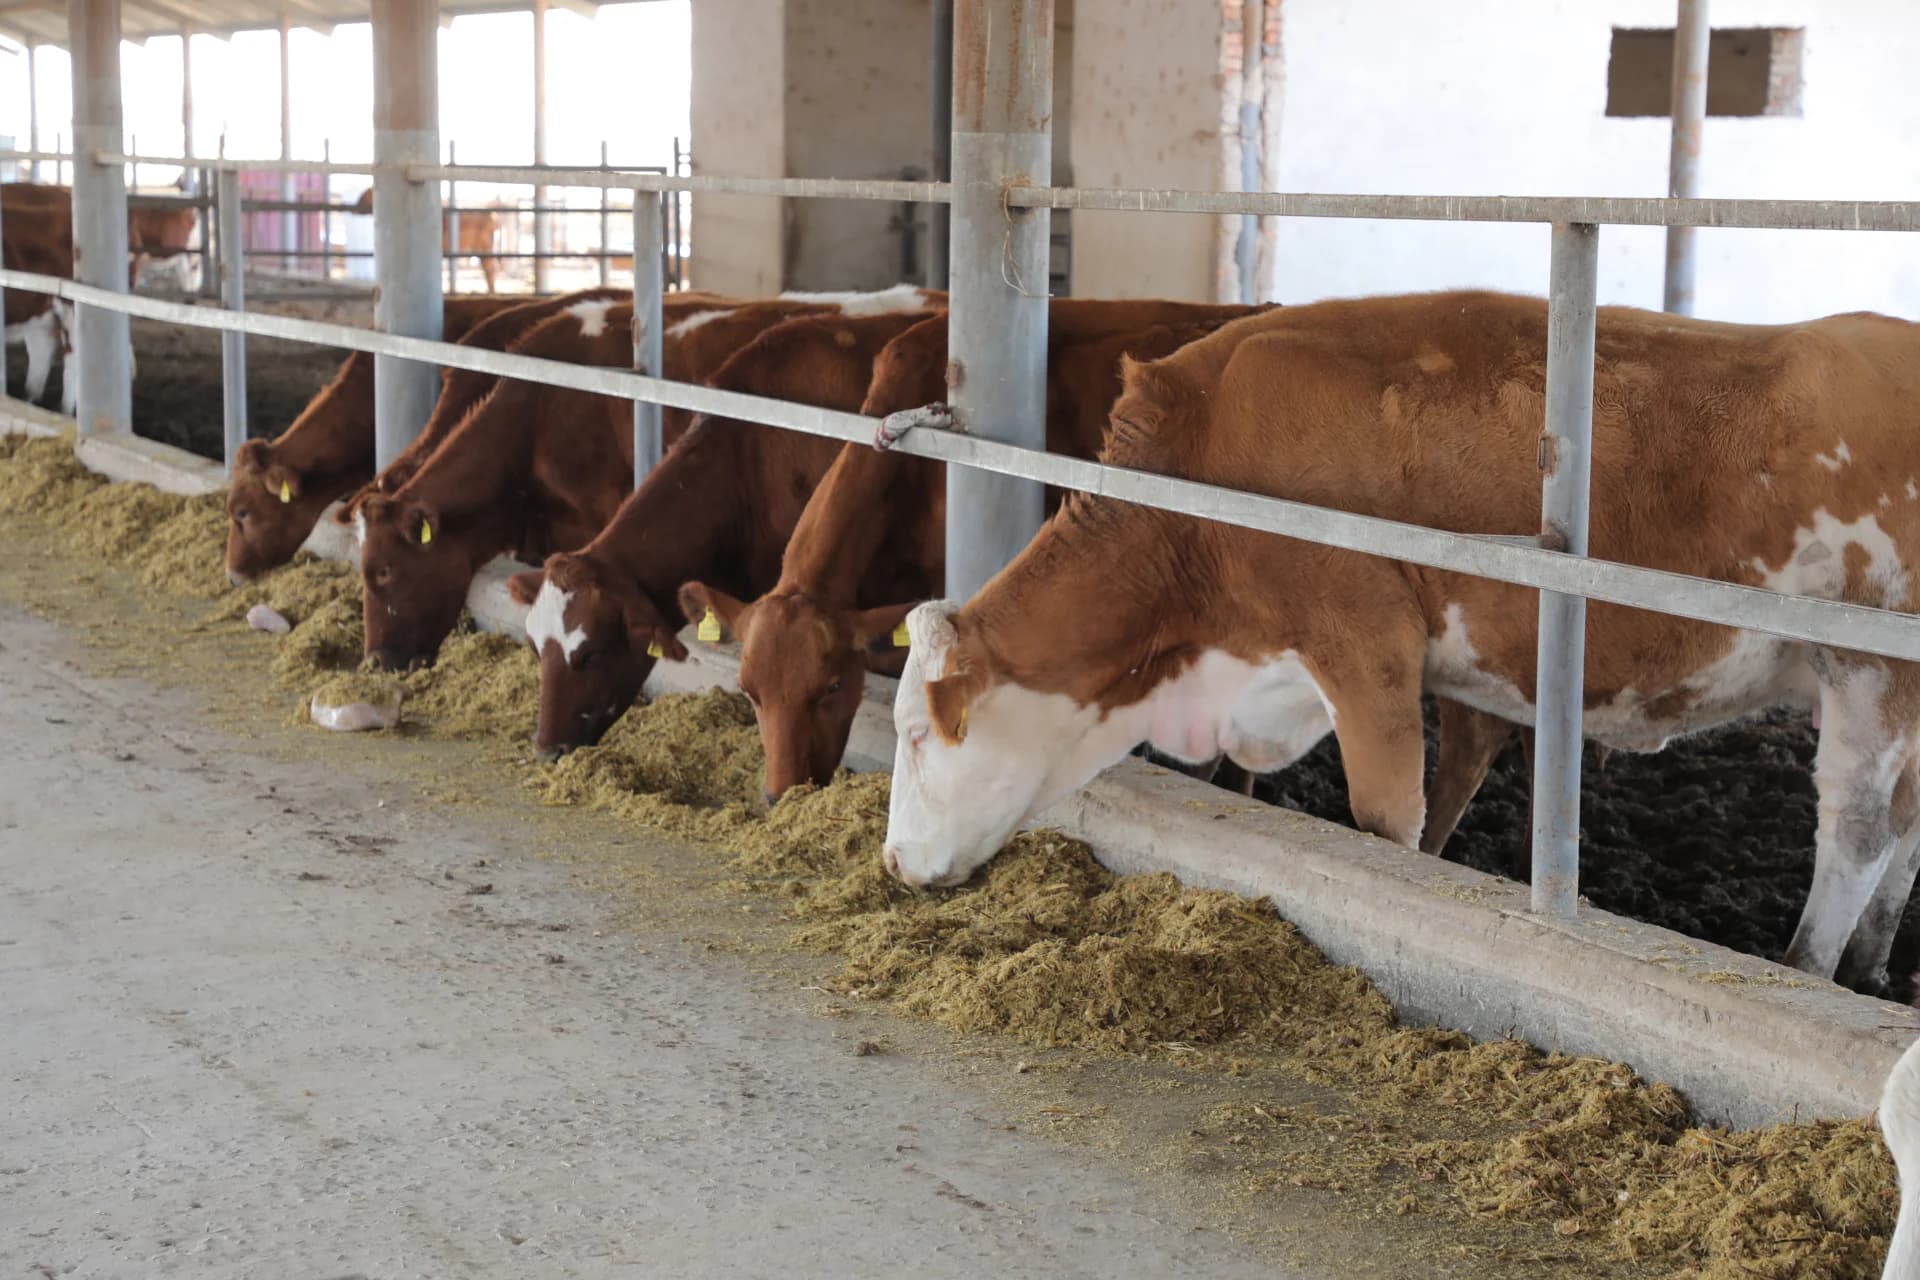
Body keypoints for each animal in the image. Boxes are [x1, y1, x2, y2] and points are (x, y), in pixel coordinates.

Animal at [881, 290, 1920, 993]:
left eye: (919, 735)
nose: (890, 865)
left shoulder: (1364, 643)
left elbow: (1385, 820)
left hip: (1870, 669)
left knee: (1858, 830)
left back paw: (1808, 964)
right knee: (1905, 828)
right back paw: (1871, 967)